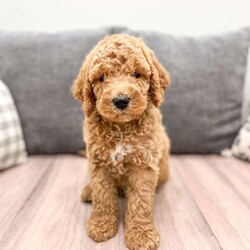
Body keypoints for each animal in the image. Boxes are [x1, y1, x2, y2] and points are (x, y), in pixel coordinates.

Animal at [71, 33, 171, 250]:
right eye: (101, 78)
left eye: (136, 75)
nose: (121, 100)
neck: (122, 128)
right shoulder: (98, 162)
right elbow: (103, 195)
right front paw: (101, 225)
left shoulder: (144, 163)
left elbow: (140, 202)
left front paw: (141, 235)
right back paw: (89, 191)